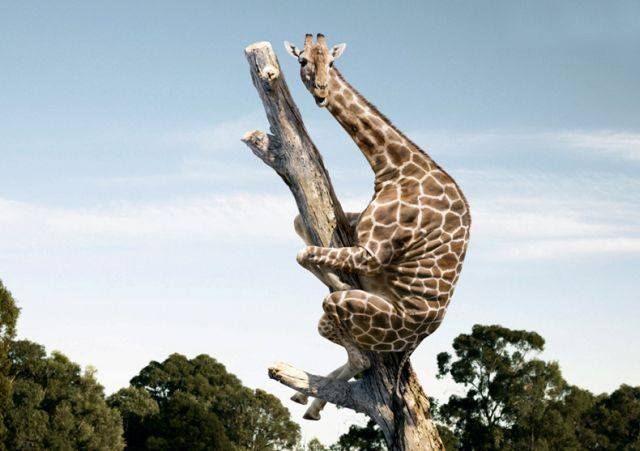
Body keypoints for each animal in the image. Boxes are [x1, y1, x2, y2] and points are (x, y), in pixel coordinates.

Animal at [284, 34, 471, 420]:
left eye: (331, 63)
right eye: (303, 60)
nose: (322, 92)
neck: (394, 167)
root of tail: (417, 339)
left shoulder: (371, 253)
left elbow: (304, 253)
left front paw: (338, 279)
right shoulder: (354, 229)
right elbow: (299, 228)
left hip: (353, 313)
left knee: (358, 356)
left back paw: (311, 399)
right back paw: (307, 401)